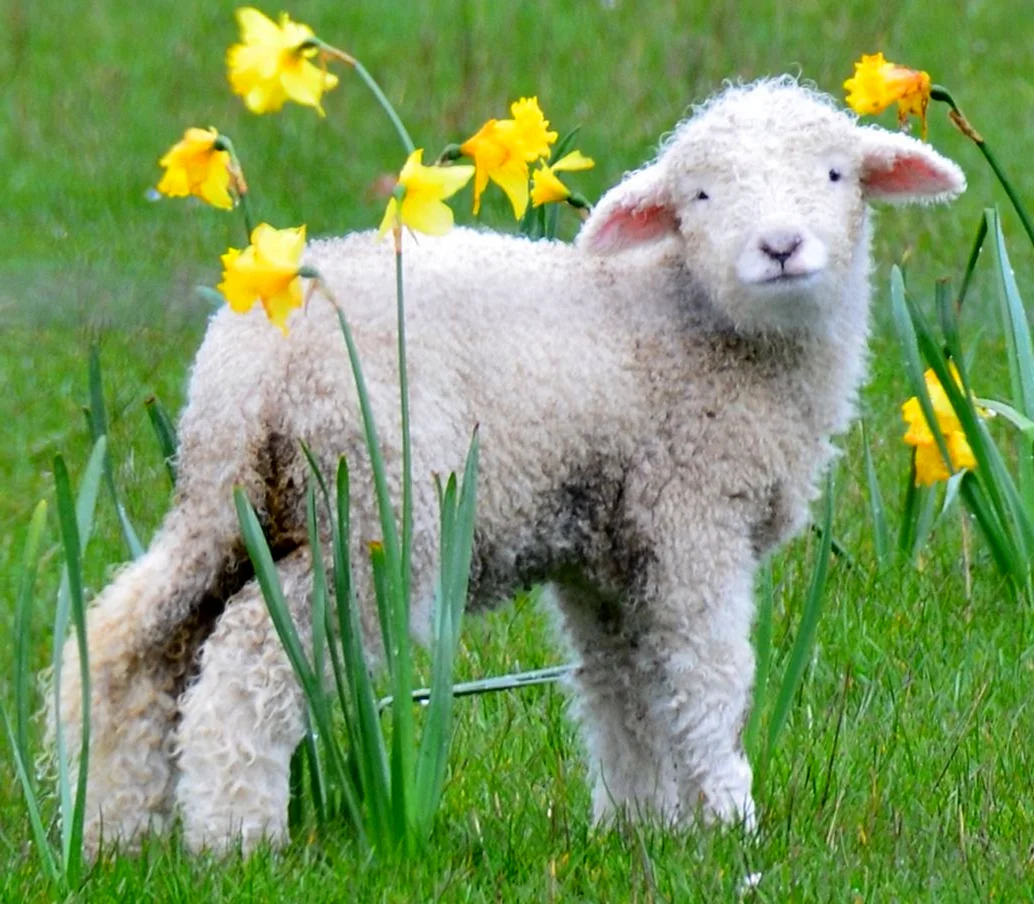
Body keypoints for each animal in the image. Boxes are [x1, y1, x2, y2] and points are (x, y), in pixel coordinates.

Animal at [53, 77, 966, 856]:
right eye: (701, 197)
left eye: (836, 173)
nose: (780, 246)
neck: (703, 328)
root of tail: (256, 359)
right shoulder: (689, 515)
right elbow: (707, 673)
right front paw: (728, 818)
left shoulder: (605, 556)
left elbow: (621, 690)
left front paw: (640, 824)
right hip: (376, 507)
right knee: (251, 655)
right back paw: (236, 840)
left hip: (224, 500)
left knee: (128, 641)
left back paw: (109, 829)